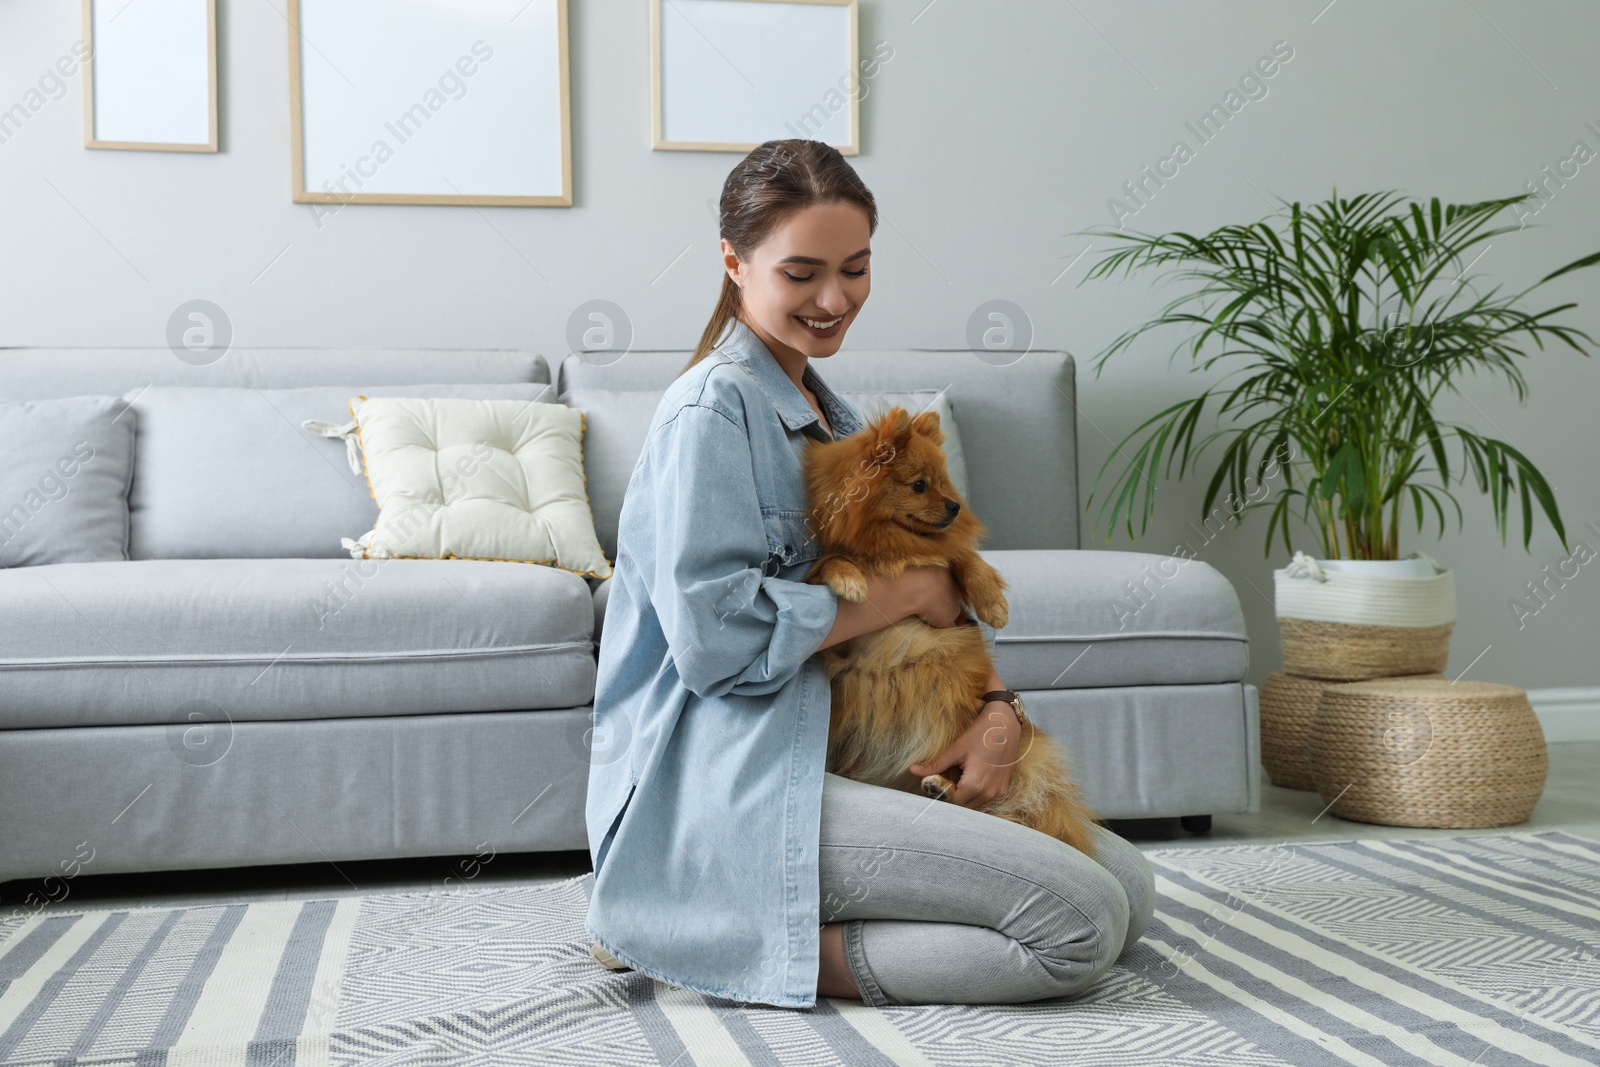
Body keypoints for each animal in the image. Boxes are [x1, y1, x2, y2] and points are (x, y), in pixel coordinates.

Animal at [796, 409, 1100, 857]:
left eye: (944, 482)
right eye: (919, 485)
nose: (956, 507)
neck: (893, 544)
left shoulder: (942, 558)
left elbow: (963, 557)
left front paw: (993, 603)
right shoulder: (820, 579)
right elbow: (832, 562)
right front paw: (851, 581)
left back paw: (941, 785)